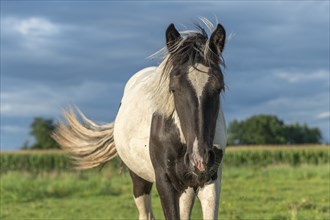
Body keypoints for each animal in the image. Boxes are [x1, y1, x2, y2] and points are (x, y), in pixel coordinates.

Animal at [52, 19, 227, 219]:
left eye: (219, 87)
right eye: (173, 88)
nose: (200, 159)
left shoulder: (210, 181)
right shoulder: (165, 183)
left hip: (188, 187)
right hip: (139, 179)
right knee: (145, 213)